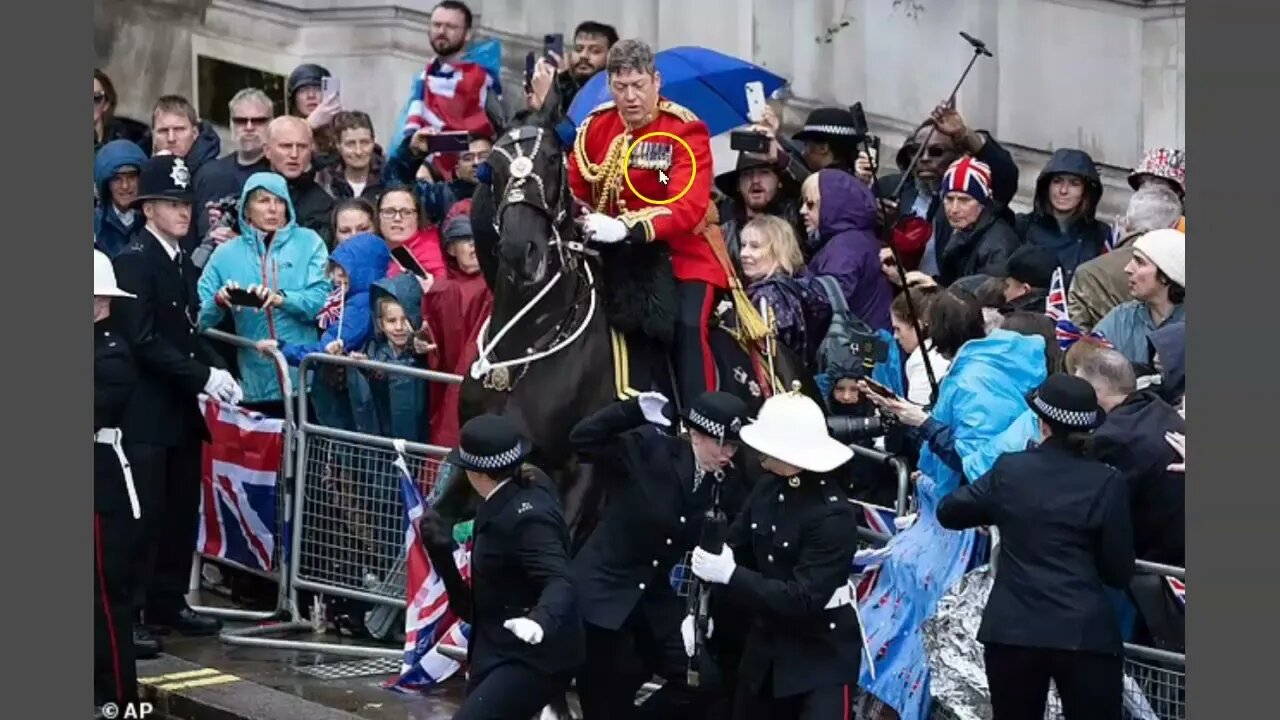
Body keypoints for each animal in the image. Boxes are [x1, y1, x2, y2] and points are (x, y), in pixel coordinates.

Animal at [435, 99, 819, 548]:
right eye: (491, 167)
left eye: (551, 158)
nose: (520, 252)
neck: (532, 342)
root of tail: (793, 375)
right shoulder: (482, 460)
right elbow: (433, 526)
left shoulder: (583, 475)